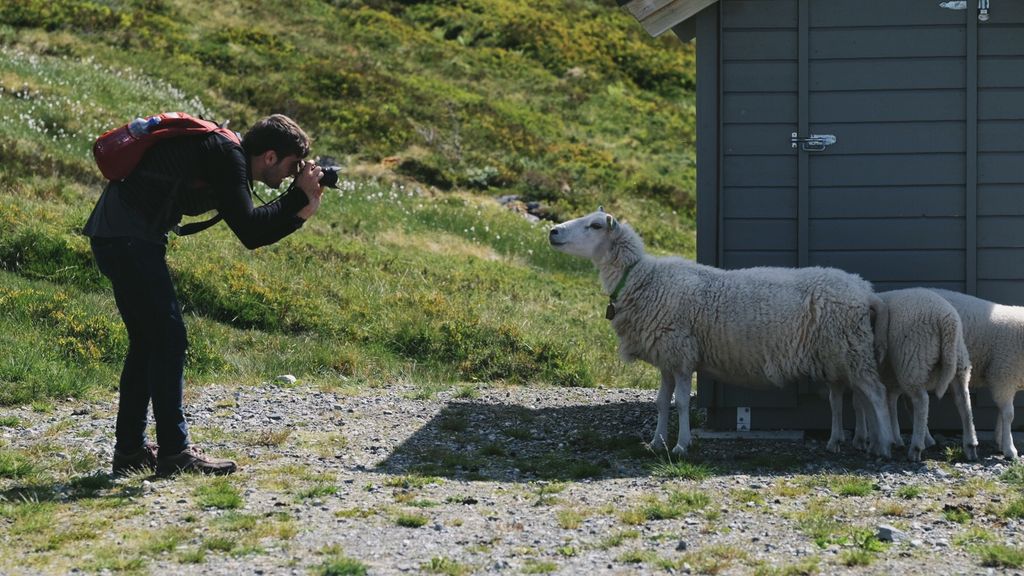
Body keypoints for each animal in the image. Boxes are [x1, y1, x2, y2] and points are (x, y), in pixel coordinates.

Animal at [548, 209, 893, 457]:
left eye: (595, 226)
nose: (552, 232)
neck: (642, 279)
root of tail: (865, 290)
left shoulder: (681, 352)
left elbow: (681, 403)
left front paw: (681, 445)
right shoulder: (666, 357)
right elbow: (661, 402)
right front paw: (656, 443)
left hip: (850, 347)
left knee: (875, 393)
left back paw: (886, 445)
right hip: (845, 350)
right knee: (857, 396)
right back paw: (854, 441)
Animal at [873, 288, 977, 461]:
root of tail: (947, 320)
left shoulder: (887, 377)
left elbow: (888, 404)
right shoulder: (892, 380)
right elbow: (898, 403)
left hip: (911, 360)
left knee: (921, 401)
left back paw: (915, 448)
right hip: (958, 361)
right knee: (963, 400)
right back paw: (970, 446)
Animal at [925, 288, 1024, 459]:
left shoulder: (1004, 379)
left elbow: (1001, 412)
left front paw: (999, 441)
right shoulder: (1003, 375)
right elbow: (1008, 414)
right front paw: (1009, 449)